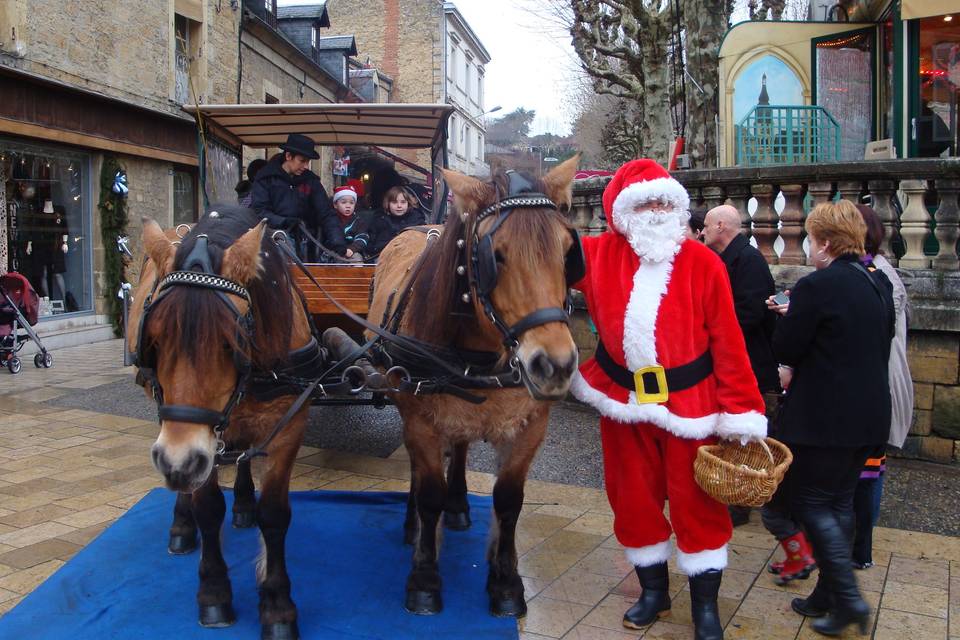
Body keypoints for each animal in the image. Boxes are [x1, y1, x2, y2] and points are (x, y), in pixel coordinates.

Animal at [127, 208, 314, 636]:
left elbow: (275, 515)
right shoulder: (196, 445)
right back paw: (181, 526)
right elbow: (208, 510)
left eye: (233, 344)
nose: (177, 461)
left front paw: (277, 604)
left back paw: (243, 504)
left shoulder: (288, 427)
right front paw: (214, 594)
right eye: (154, 341)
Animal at [366, 158, 576, 616]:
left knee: (460, 447)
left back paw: (459, 505)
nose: (555, 366)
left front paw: (506, 582)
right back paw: (413, 524)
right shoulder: (421, 420)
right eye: (494, 256)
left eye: (569, 251)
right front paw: (424, 578)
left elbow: (509, 501)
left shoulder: (531, 426)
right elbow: (429, 492)